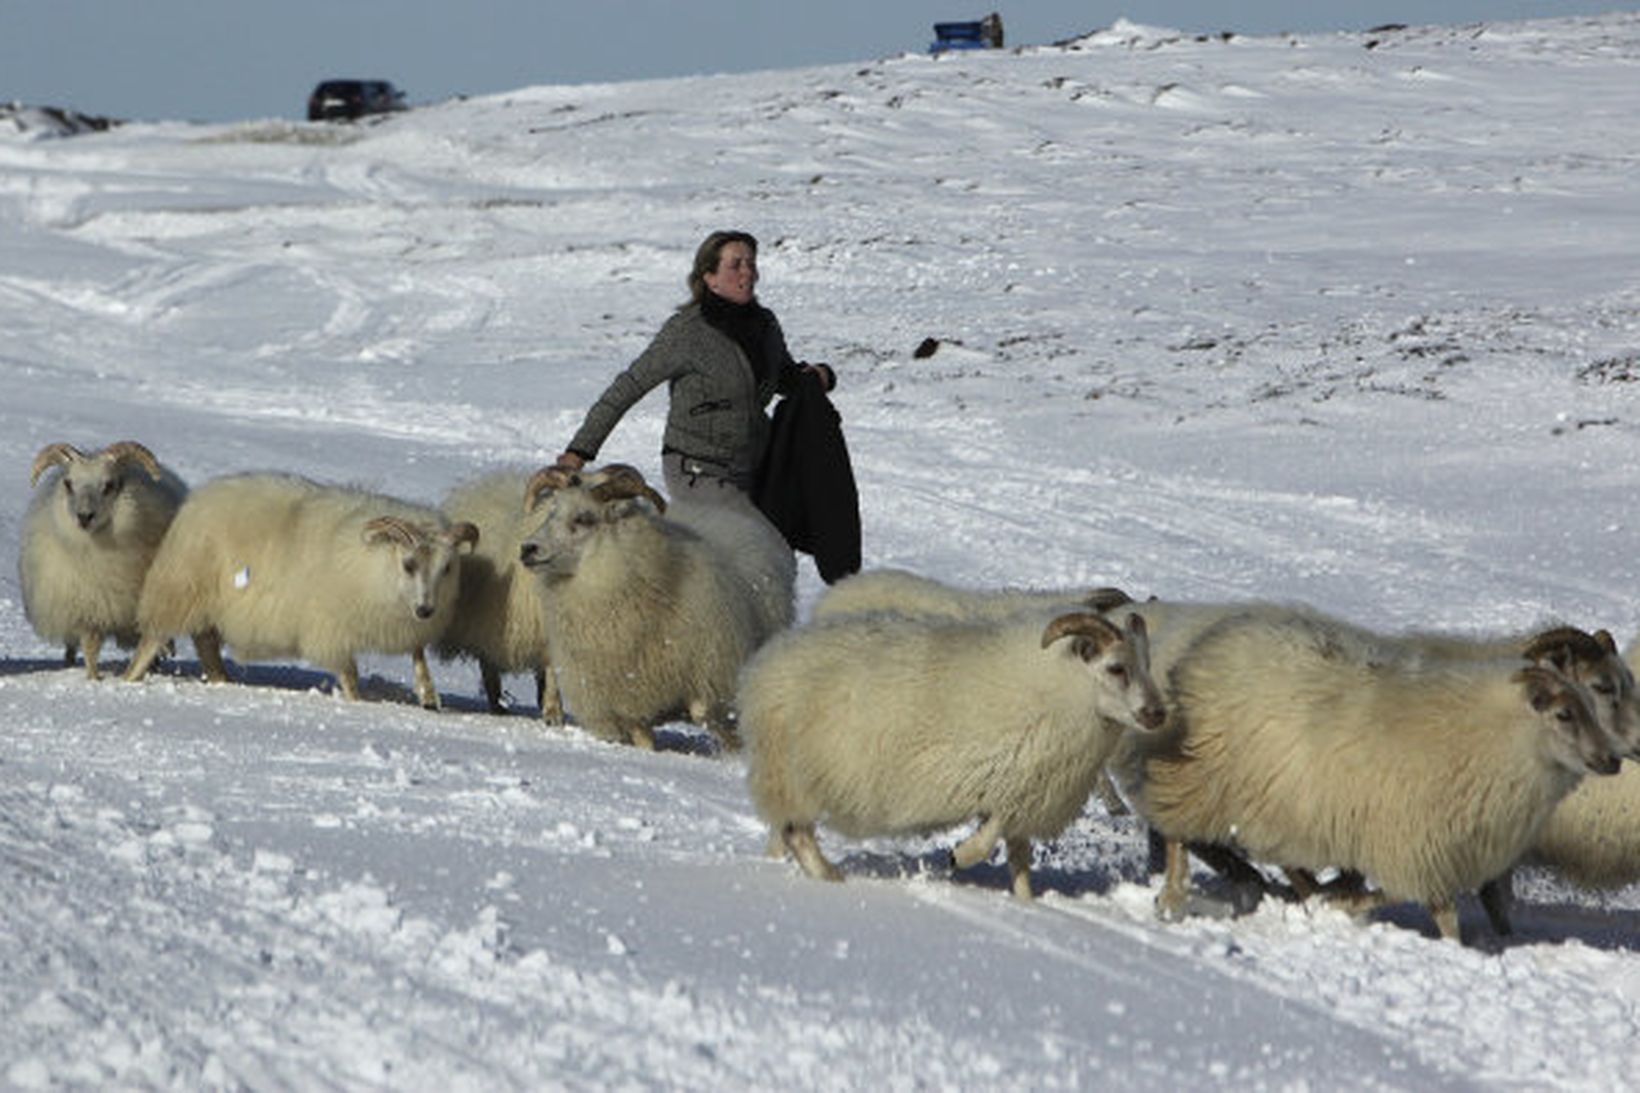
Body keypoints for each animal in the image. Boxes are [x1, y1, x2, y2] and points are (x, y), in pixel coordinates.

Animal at [19, 439, 188, 676]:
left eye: (109, 484)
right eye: (68, 483)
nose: (84, 516)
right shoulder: (88, 612)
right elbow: (90, 650)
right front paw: (93, 678)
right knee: (71, 647)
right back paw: (69, 665)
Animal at [122, 469, 478, 705]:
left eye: (447, 567)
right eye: (408, 564)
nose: (426, 609)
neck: (373, 565)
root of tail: (197, 499)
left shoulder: (403, 623)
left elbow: (419, 655)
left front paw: (429, 694)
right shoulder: (332, 631)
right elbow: (349, 675)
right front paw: (356, 702)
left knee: (205, 641)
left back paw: (223, 680)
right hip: (180, 591)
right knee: (155, 638)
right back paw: (130, 678)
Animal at [514, 459, 790, 748]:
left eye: (583, 518)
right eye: (551, 512)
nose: (528, 548)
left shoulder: (713, 672)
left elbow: (703, 711)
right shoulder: (630, 702)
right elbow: (645, 740)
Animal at [738, 600, 1174, 899]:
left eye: (1148, 665)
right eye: (1116, 668)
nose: (1157, 714)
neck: (1065, 689)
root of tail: (765, 665)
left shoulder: (1031, 791)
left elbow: (1020, 858)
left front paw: (1026, 903)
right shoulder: (1007, 779)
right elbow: (991, 834)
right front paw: (959, 856)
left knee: (785, 830)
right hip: (795, 771)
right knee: (797, 832)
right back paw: (829, 876)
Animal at [1128, 607, 1613, 938]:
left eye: (1593, 706)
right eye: (1565, 714)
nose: (1611, 759)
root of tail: (1213, 640)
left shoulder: (1434, 849)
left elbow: (1426, 905)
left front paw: (1334, 900)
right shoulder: (1414, 845)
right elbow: (1429, 906)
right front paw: (1342, 905)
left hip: (1272, 800)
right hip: (1201, 777)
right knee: (1175, 832)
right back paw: (1172, 898)